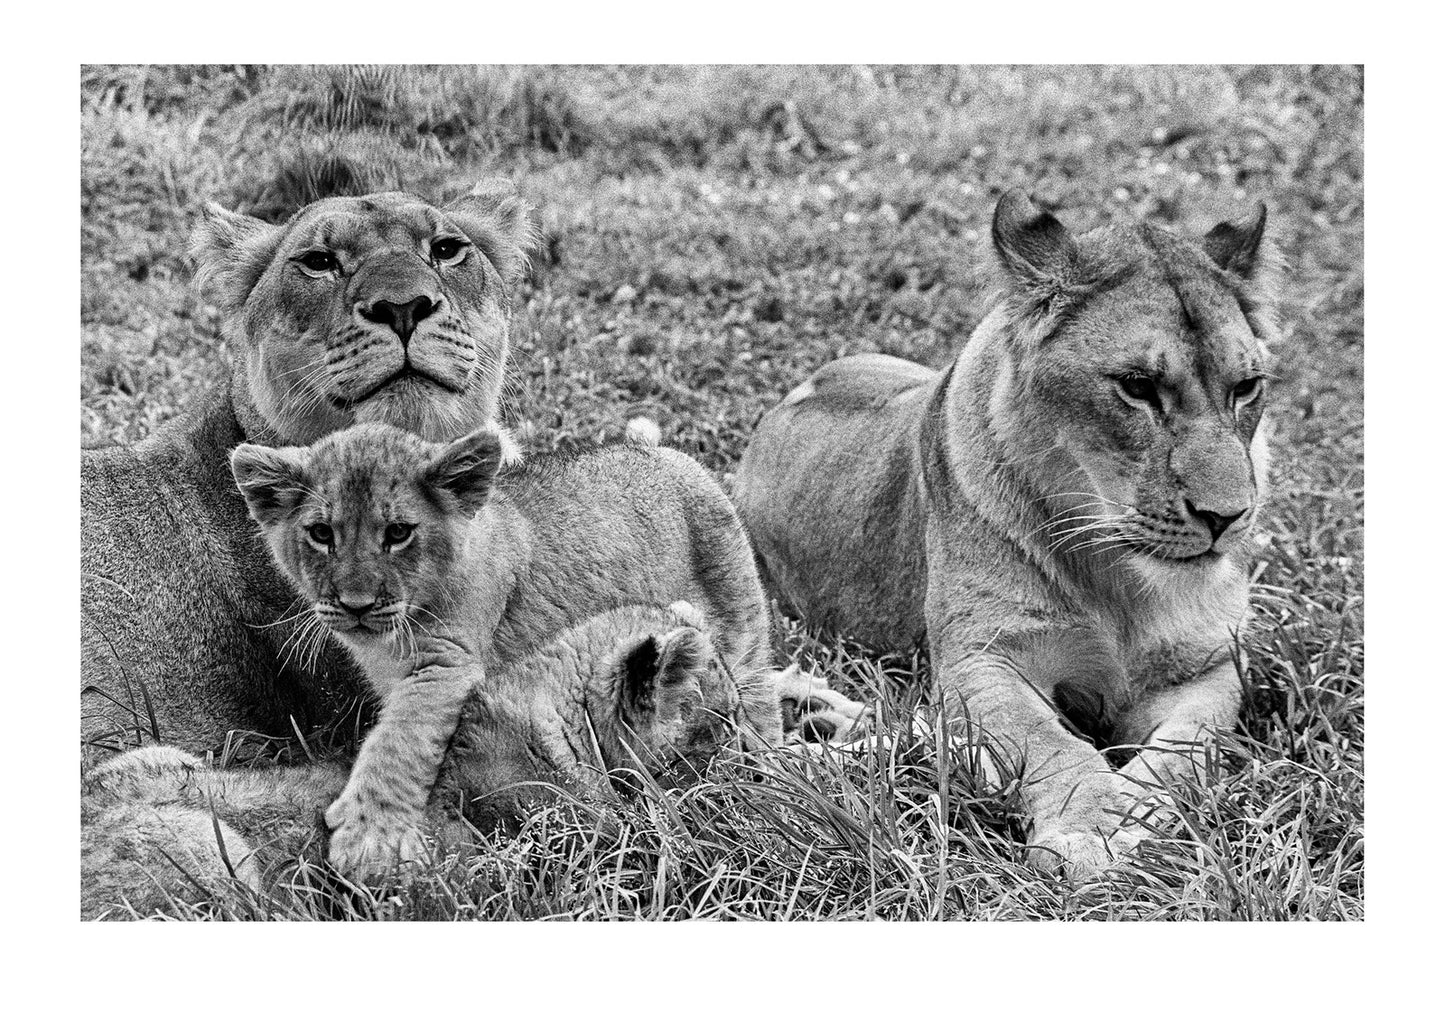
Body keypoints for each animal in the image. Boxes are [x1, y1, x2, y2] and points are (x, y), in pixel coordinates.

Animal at [80, 605, 869, 919]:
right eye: (722, 723)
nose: (753, 751)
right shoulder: (624, 847)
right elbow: (740, 810)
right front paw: (847, 757)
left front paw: (841, 714)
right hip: (217, 852)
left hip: (146, 758)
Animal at [734, 189, 1280, 876]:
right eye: (1137, 387)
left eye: (1247, 387)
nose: (1228, 517)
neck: (1120, 583)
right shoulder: (981, 659)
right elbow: (1047, 741)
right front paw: (1091, 830)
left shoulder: (1210, 667)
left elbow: (1185, 750)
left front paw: (1138, 815)